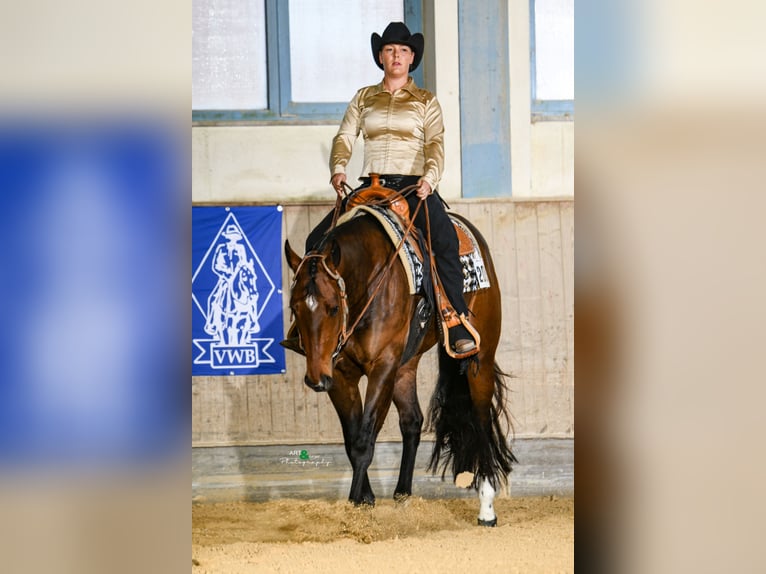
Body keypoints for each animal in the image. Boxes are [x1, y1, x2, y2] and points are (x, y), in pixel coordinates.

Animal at [284, 209, 520, 528]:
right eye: (295, 308)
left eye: (333, 308)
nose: (315, 379)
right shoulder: (342, 374)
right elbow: (352, 439)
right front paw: (366, 501)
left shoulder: (382, 366)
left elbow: (364, 441)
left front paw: (354, 506)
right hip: (404, 367)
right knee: (412, 421)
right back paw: (403, 496)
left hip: (478, 359)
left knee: (481, 421)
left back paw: (486, 509)